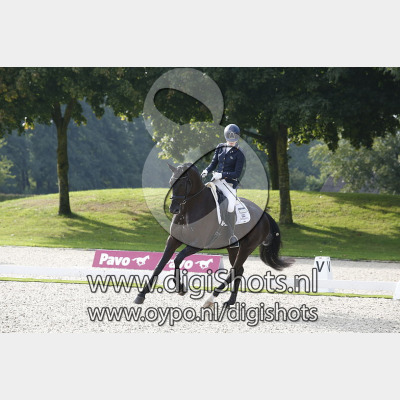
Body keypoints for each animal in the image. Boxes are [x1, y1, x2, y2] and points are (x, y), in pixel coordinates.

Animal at [134, 162, 293, 308]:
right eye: (171, 182)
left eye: (183, 183)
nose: (173, 209)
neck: (189, 209)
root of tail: (264, 215)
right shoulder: (173, 240)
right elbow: (160, 265)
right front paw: (141, 295)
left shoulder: (198, 243)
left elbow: (177, 259)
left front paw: (180, 288)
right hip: (233, 248)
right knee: (239, 270)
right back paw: (230, 302)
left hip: (247, 247)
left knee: (234, 271)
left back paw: (210, 299)